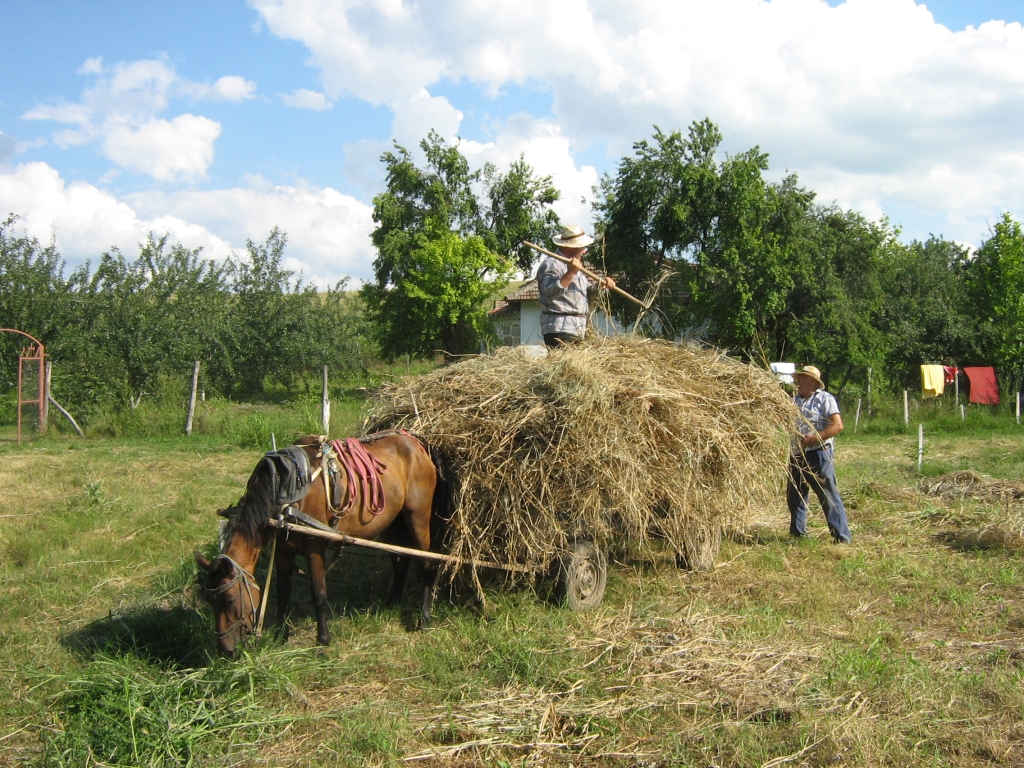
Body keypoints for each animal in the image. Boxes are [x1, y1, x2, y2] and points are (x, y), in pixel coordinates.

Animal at [195, 434, 440, 655]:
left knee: (426, 563)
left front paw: (323, 640)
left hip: (417, 517)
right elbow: (283, 592)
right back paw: (392, 603)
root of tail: (415, 443)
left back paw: (424, 617)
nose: (226, 651)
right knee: (401, 559)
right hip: (391, 522)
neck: (285, 489)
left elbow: (318, 594)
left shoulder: (314, 547)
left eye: (230, 599)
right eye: (210, 601)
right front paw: (281, 636)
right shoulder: (283, 550)